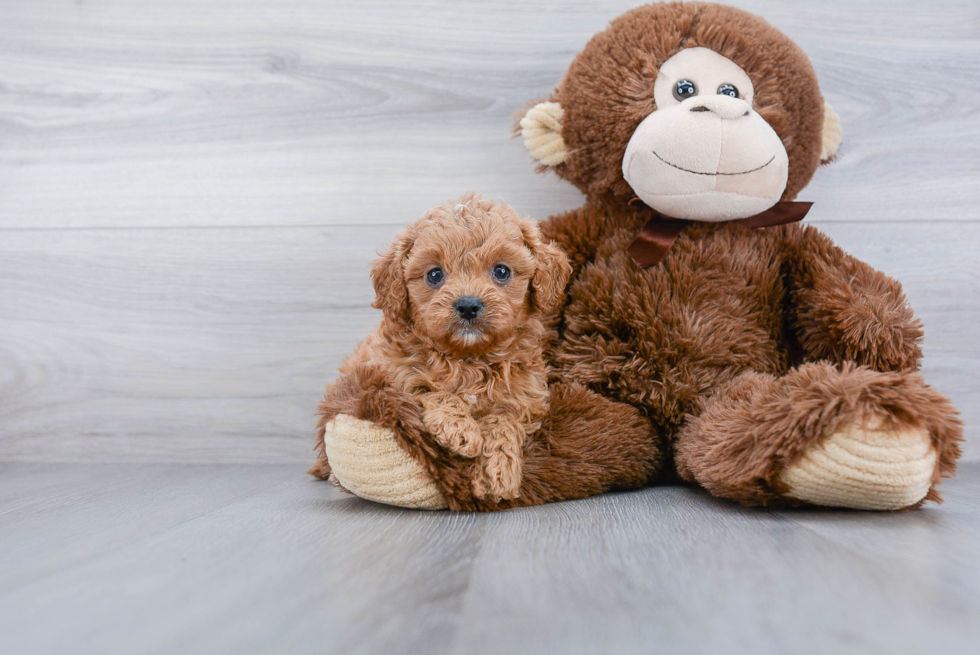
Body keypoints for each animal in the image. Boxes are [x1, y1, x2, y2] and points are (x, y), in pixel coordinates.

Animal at [352, 192, 572, 500]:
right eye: (434, 275)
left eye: (501, 271)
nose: (468, 305)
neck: (469, 358)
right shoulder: (391, 376)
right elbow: (433, 390)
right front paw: (459, 429)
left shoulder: (525, 398)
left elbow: (504, 420)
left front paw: (498, 471)